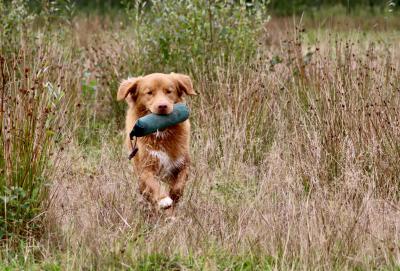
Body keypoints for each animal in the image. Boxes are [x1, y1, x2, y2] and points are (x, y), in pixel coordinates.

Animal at [116, 73, 196, 211]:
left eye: (169, 91)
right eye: (149, 93)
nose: (162, 106)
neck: (162, 134)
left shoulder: (183, 163)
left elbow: (180, 183)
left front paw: (174, 196)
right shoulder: (145, 168)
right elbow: (153, 184)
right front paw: (163, 199)